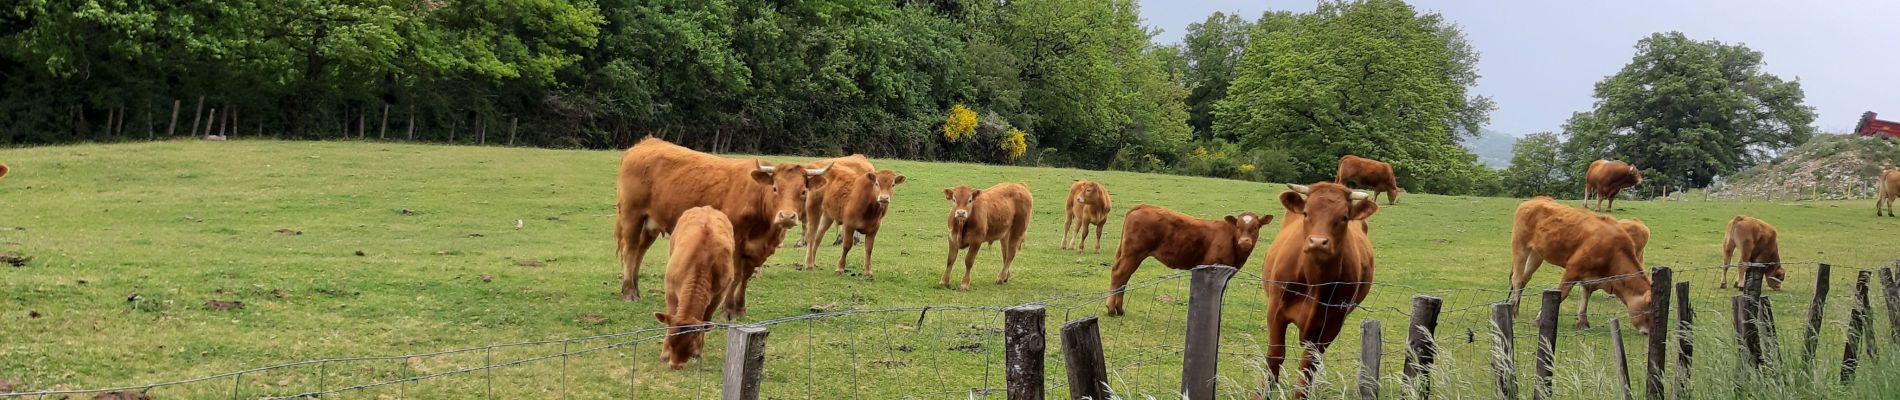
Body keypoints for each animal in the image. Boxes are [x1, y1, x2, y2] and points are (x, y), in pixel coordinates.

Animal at [657, 207, 737, 369]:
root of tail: (707, 208)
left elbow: (706, 319)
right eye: (671, 342)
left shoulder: (719, 294)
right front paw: (664, 354)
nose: (675, 366)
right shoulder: (670, 289)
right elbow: (670, 315)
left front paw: (698, 352)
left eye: (690, 344)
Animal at [1109, 206, 1269, 314]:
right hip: (1133, 253)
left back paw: (1119, 308)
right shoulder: (1210, 267)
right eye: (1238, 226)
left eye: (1256, 227)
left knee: (1123, 277)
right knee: (1119, 274)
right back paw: (1112, 309)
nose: (1245, 242)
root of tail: (1143, 206)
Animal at [1261, 182, 1383, 398]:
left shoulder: (1332, 323)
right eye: (1306, 213)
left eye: (1344, 217)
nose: (1317, 242)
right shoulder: (1275, 311)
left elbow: (1309, 365)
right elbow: (1275, 356)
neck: (1314, 282)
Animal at [1504, 195, 1656, 333]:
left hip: (1536, 254)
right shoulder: (1572, 269)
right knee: (1517, 278)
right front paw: (1539, 319)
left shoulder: (1590, 277)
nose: (1648, 332)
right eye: (1648, 311)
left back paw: (1516, 307)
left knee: (1524, 278)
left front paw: (1582, 322)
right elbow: (1562, 294)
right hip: (1520, 245)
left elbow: (1585, 297)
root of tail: (1537, 199)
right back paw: (1513, 309)